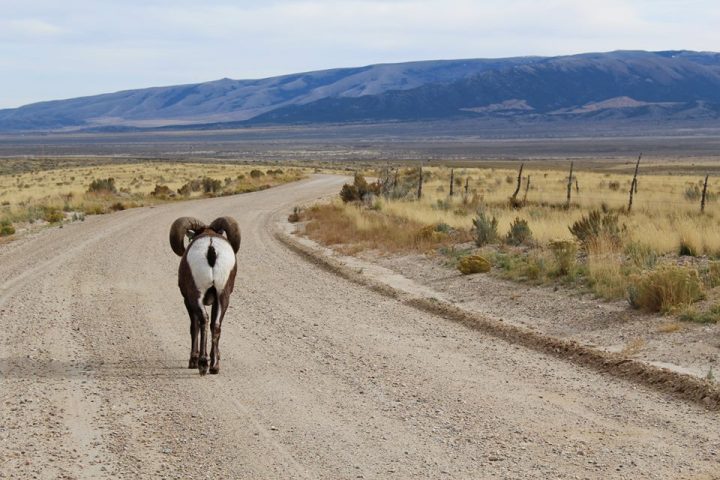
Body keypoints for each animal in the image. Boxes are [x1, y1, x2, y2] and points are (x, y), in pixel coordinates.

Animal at [168, 217, 239, 376]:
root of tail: (211, 248)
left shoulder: (187, 300)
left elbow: (194, 327)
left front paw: (192, 361)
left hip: (196, 296)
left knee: (203, 321)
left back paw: (202, 364)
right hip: (223, 296)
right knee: (216, 326)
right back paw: (214, 366)